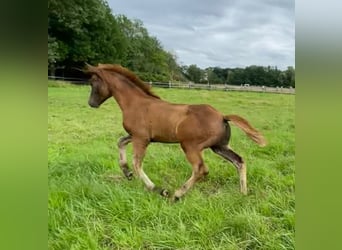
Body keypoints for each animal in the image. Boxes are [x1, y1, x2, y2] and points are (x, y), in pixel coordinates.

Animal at [85, 63, 268, 201]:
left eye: (93, 83)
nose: (91, 103)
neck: (135, 103)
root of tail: (222, 116)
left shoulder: (141, 138)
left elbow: (137, 163)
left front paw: (158, 189)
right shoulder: (139, 136)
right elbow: (121, 142)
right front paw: (127, 172)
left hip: (190, 146)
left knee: (201, 169)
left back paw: (177, 194)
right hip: (219, 147)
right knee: (239, 161)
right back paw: (243, 193)